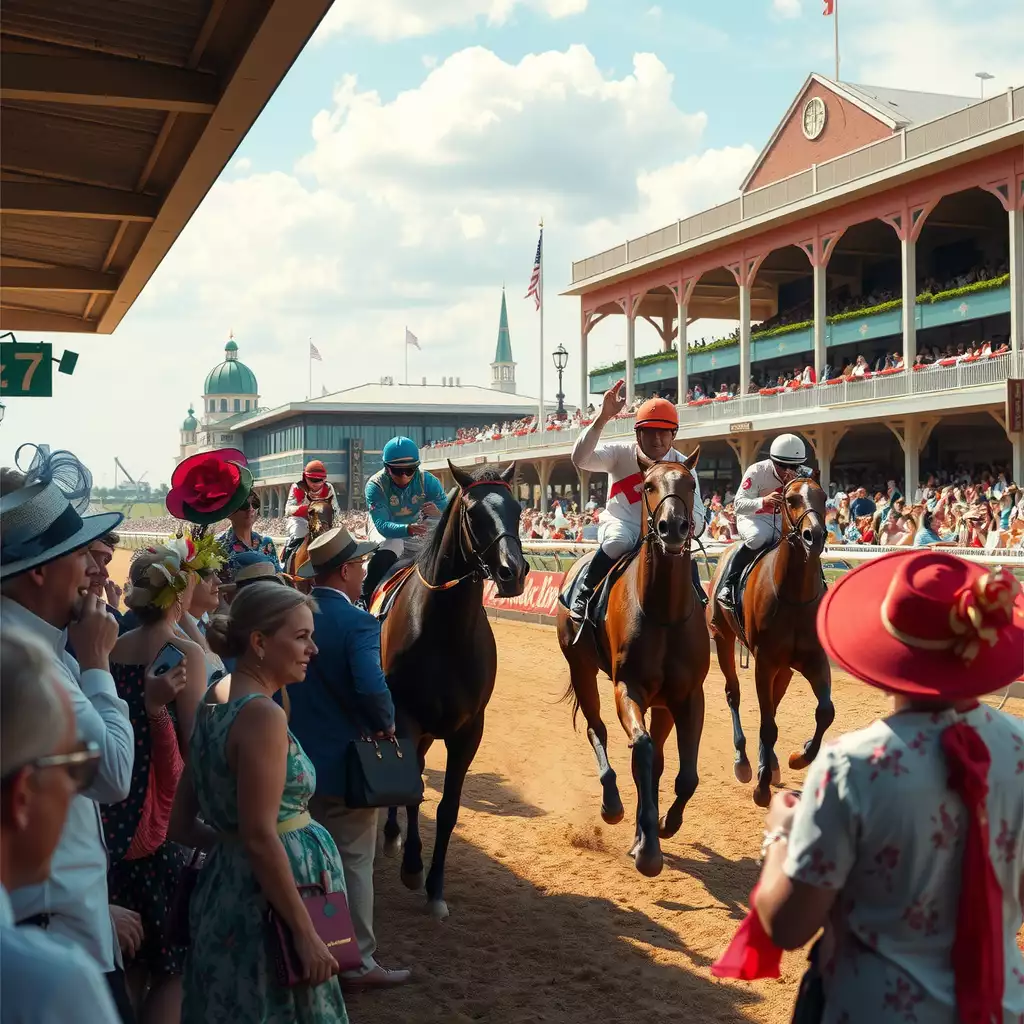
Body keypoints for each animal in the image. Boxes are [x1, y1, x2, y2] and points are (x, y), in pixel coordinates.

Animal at [380, 464, 532, 921]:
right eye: (473, 512)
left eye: (519, 508)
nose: (512, 572)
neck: (443, 631)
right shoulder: (407, 716)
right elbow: (412, 789)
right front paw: (413, 868)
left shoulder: (468, 729)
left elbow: (448, 808)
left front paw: (436, 888)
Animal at [557, 452, 708, 876]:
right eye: (648, 485)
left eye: (691, 483)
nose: (673, 527)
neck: (664, 613)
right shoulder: (628, 687)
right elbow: (639, 749)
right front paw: (648, 850)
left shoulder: (688, 695)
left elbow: (685, 775)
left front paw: (664, 825)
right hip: (581, 668)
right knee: (597, 729)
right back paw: (612, 805)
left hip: (663, 704)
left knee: (657, 760)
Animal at [708, 477, 835, 806]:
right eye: (790, 499)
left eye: (823, 496)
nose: (815, 535)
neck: (794, 596)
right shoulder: (764, 662)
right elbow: (767, 726)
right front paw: (761, 787)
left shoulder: (814, 659)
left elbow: (825, 712)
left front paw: (798, 756)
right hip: (722, 637)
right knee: (733, 694)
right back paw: (743, 762)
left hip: (785, 668)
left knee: (774, 704)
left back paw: (773, 763)